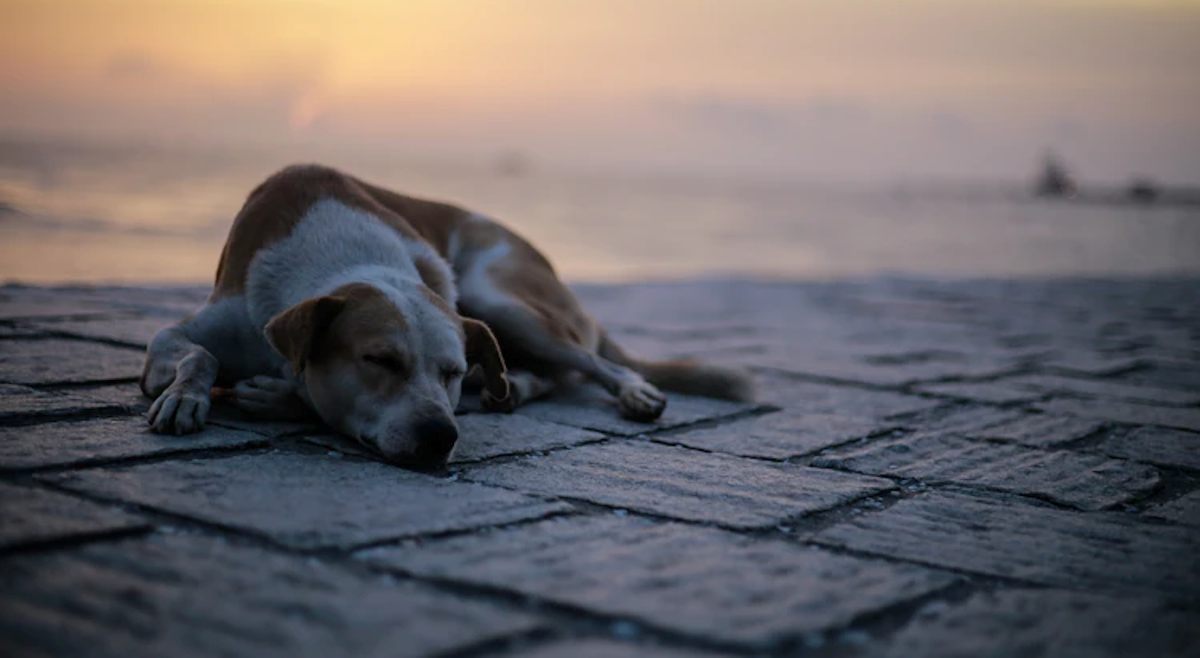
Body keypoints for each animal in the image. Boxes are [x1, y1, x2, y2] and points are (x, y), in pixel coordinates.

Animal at [140, 163, 753, 468]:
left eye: (452, 371)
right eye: (379, 360)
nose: (440, 436)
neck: (343, 255)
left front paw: (281, 397)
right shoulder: (212, 321)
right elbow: (188, 348)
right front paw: (183, 395)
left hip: (498, 297)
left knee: (584, 363)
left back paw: (629, 391)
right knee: (545, 373)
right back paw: (514, 389)